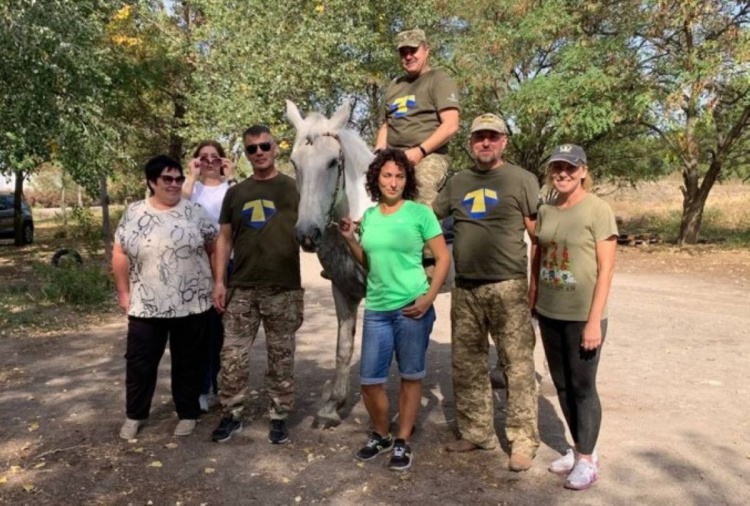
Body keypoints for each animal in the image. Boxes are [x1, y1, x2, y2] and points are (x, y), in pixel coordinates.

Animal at [284, 99, 376, 426]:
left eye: (332, 162)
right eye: (294, 163)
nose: (307, 233)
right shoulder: (342, 289)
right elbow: (343, 348)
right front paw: (333, 405)